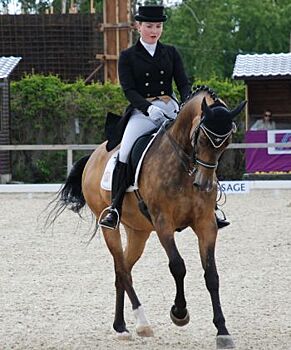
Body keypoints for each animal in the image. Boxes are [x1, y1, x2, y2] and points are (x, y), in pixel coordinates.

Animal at [49, 85, 248, 350]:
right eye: (202, 138)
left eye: (226, 142)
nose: (204, 184)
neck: (184, 165)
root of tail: (94, 155)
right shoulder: (163, 223)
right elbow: (178, 267)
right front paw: (179, 313)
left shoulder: (206, 225)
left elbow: (212, 275)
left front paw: (222, 331)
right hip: (110, 227)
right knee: (122, 268)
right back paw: (142, 323)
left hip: (139, 232)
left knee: (122, 269)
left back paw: (121, 326)